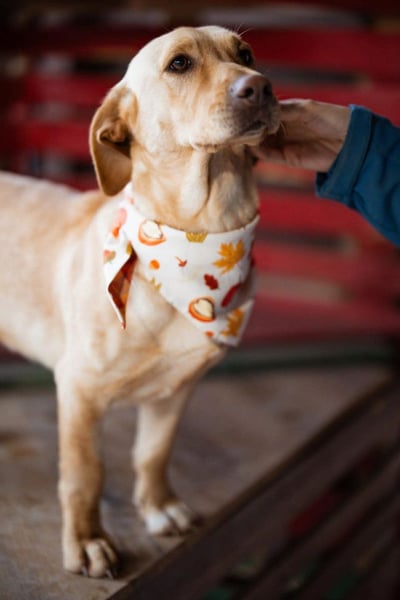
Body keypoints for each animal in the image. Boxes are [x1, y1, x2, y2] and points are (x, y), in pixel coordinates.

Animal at [0, 26, 279, 578]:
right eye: (179, 64)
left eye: (246, 53)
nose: (259, 86)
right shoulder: (78, 390)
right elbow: (85, 474)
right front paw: (87, 541)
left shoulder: (175, 391)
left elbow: (152, 454)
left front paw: (158, 508)